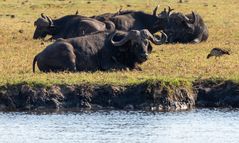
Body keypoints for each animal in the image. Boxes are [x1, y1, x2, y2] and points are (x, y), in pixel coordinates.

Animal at [32, 28, 166, 72]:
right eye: (135, 44)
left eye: (146, 42)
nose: (144, 55)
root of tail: (40, 54)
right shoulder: (108, 64)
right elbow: (127, 68)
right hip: (68, 52)